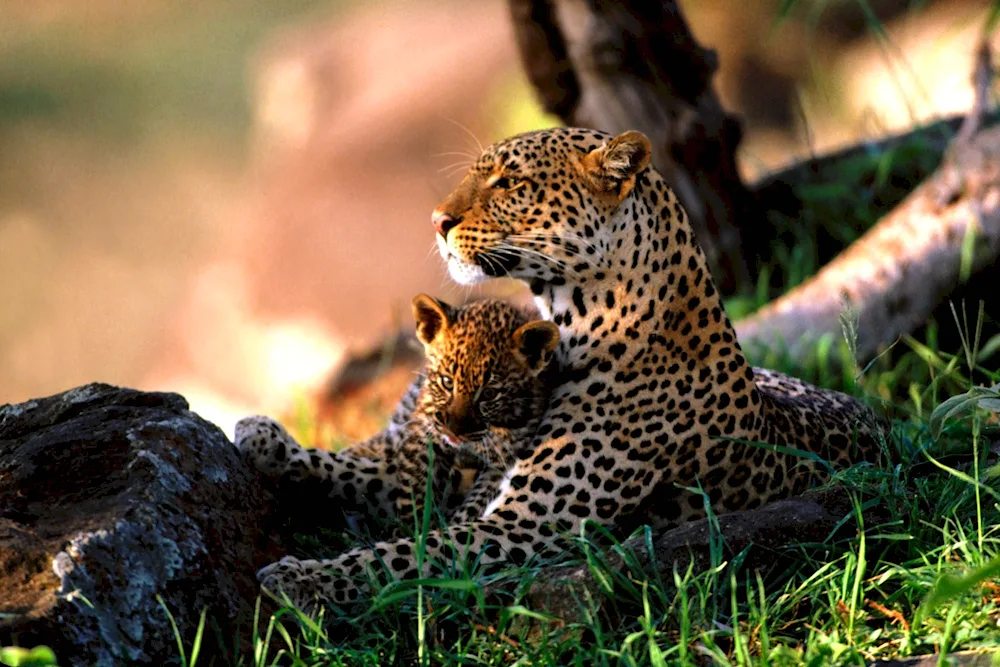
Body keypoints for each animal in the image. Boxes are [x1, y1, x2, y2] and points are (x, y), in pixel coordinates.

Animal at [252, 126, 884, 612]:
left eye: (510, 183)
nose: (435, 220)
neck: (580, 321)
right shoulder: (451, 482)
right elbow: (362, 473)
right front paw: (266, 440)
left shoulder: (522, 528)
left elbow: (401, 555)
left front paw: (301, 577)